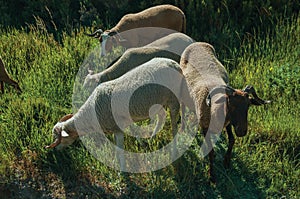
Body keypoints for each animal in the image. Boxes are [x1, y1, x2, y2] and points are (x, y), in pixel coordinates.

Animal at [45, 57, 190, 171]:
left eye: (60, 138)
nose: (55, 150)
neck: (91, 114)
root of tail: (174, 64)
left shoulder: (117, 128)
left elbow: (120, 150)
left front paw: (122, 169)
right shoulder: (120, 123)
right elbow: (129, 135)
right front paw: (139, 144)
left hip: (173, 98)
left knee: (174, 125)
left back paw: (174, 151)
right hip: (157, 102)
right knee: (161, 117)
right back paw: (152, 137)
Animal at [179, 42, 270, 183]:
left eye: (248, 106)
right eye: (230, 105)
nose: (242, 131)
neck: (215, 109)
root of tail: (196, 43)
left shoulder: (228, 123)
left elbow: (232, 140)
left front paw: (227, 162)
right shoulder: (205, 126)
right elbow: (211, 152)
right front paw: (212, 176)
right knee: (183, 108)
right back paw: (183, 128)